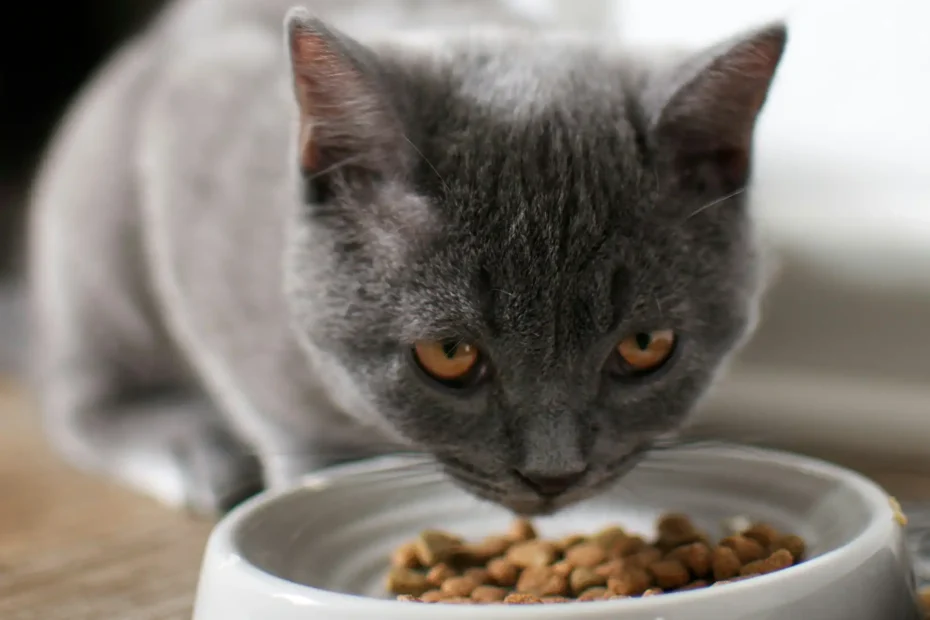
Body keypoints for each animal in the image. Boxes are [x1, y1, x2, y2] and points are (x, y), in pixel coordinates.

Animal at [27, 0, 784, 516]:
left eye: (645, 346)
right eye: (449, 355)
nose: (553, 475)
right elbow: (280, 415)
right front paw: (309, 481)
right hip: (97, 239)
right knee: (79, 397)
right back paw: (191, 452)